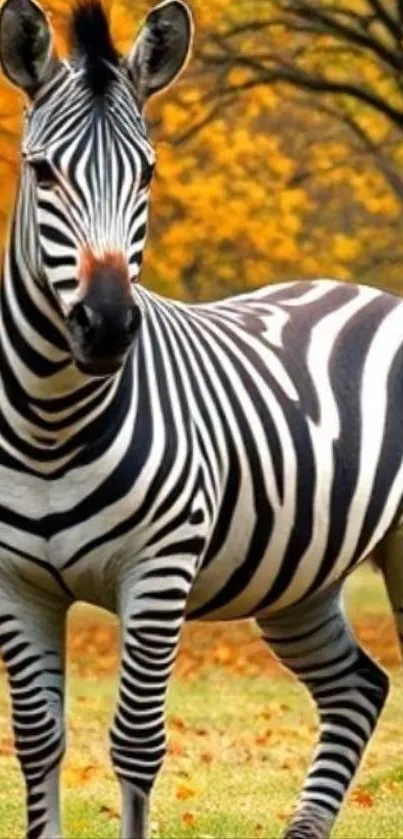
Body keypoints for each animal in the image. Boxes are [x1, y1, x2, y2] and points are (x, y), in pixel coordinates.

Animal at [0, 0, 402, 837]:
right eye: (42, 171)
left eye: (148, 171)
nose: (107, 327)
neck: (52, 424)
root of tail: (369, 291)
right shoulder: (16, 582)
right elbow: (38, 739)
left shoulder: (158, 569)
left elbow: (135, 743)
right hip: (297, 573)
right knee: (358, 686)